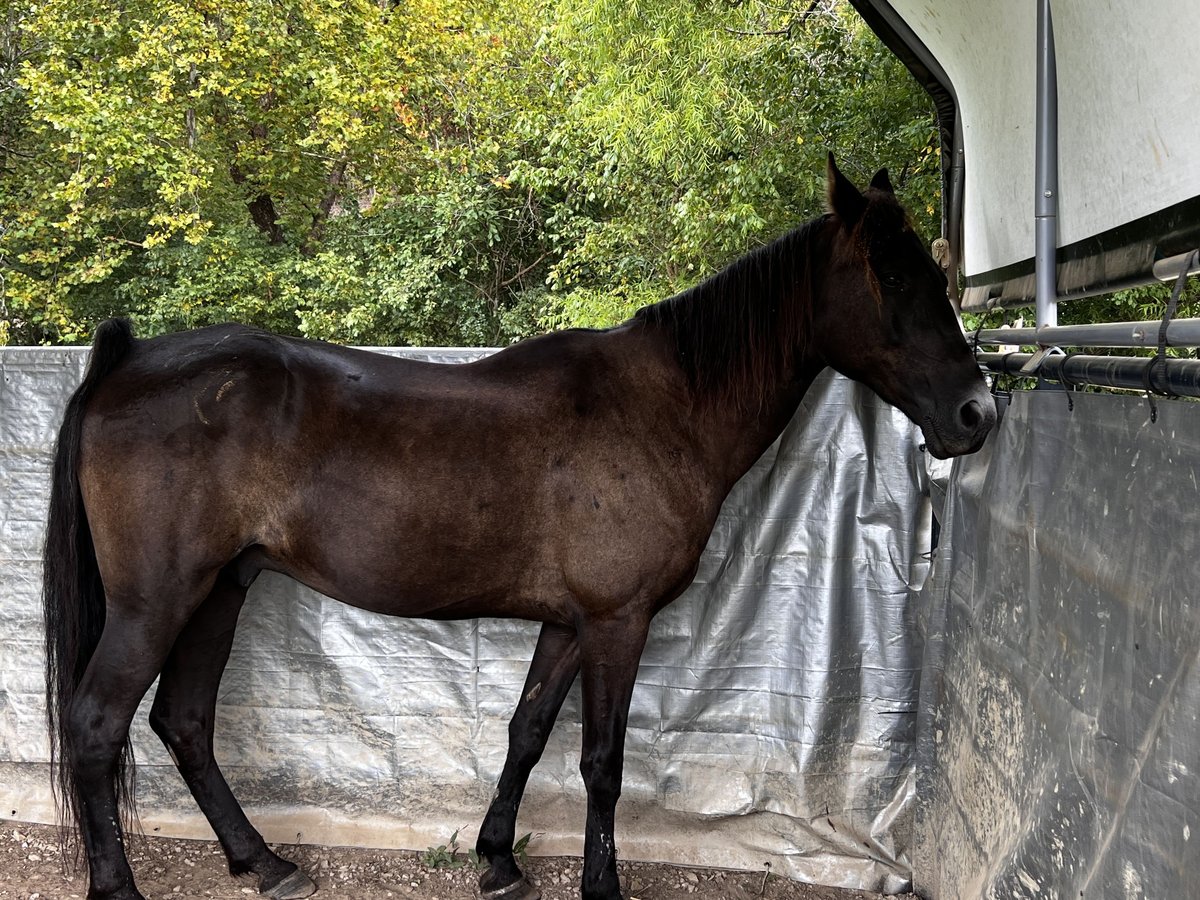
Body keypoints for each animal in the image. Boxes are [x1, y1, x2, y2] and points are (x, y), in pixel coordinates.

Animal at [42, 155, 995, 900]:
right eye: (893, 278)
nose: (976, 413)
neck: (662, 406)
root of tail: (126, 360)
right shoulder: (617, 622)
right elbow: (602, 761)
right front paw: (602, 885)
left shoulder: (569, 624)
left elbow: (528, 732)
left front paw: (498, 859)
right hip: (156, 601)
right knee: (95, 724)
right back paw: (120, 885)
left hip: (220, 590)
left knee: (184, 723)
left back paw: (264, 862)